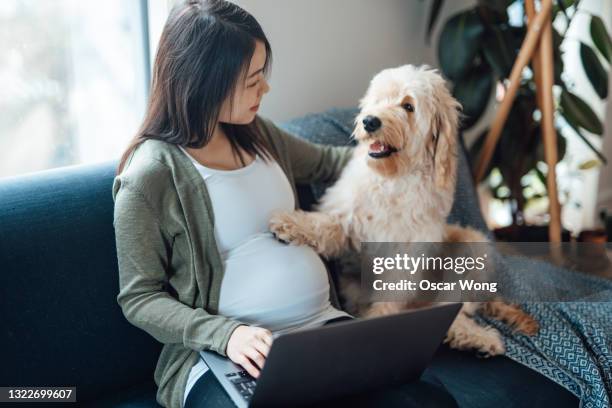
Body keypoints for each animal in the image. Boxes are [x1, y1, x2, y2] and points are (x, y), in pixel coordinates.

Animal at [270, 64, 536, 356]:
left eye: (408, 106)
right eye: (377, 99)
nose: (370, 121)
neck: (393, 180)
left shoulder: (407, 254)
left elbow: (392, 296)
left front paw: (377, 326)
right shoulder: (348, 220)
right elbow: (324, 225)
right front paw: (289, 222)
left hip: (473, 248)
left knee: (454, 310)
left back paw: (478, 337)